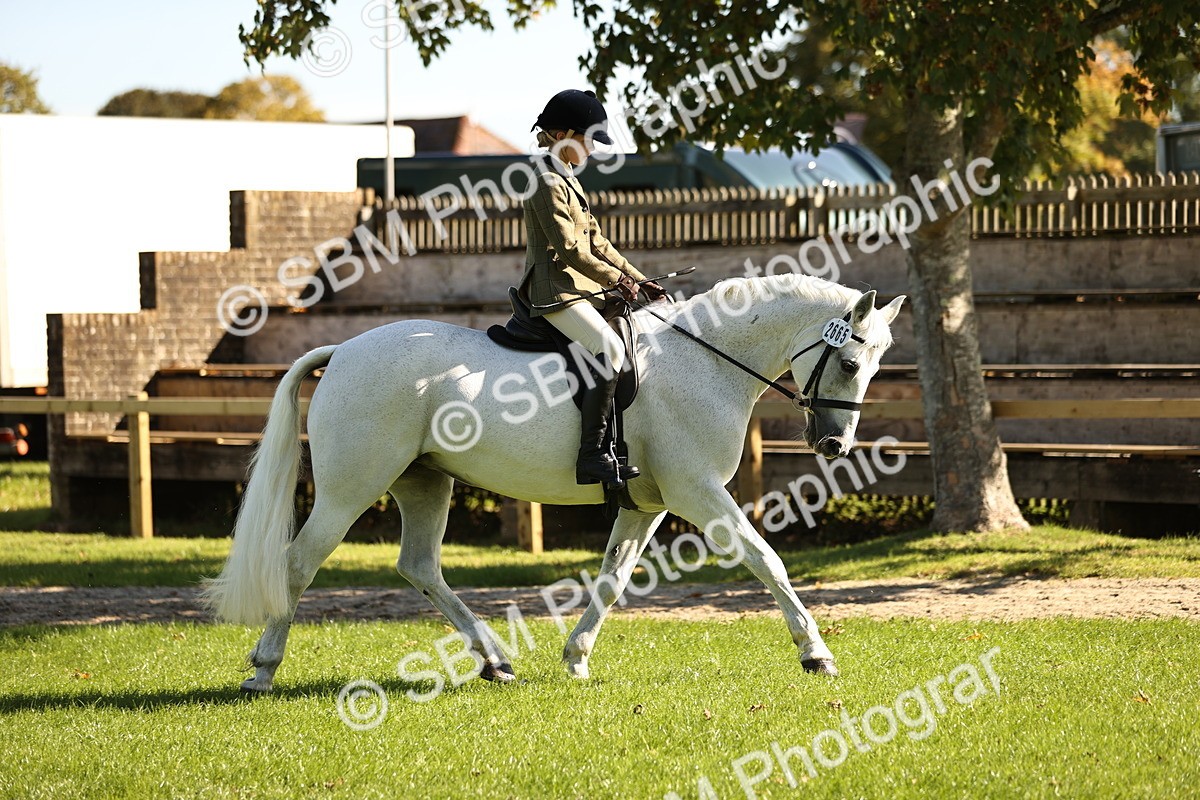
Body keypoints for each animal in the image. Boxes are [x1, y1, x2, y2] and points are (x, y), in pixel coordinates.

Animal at [202, 273, 905, 693]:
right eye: (849, 362)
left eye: (875, 365)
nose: (835, 446)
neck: (705, 361)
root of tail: (343, 350)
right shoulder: (699, 493)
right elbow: (767, 560)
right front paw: (815, 653)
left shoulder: (647, 504)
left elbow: (613, 579)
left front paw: (577, 657)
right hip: (351, 489)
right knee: (298, 564)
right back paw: (262, 672)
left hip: (423, 483)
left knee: (420, 566)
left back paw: (495, 661)